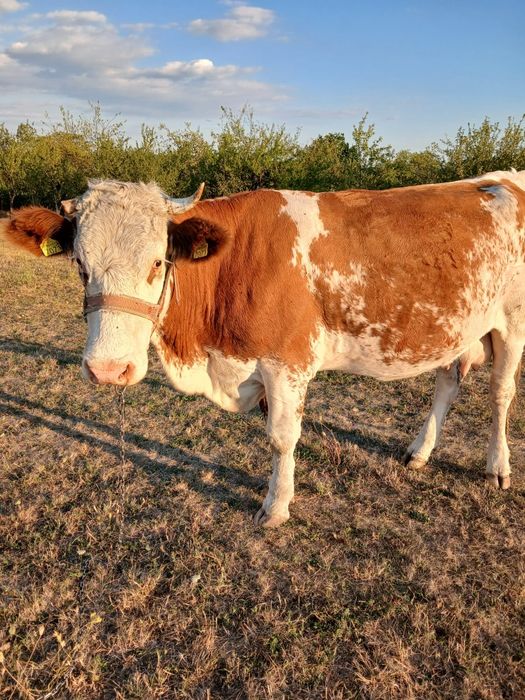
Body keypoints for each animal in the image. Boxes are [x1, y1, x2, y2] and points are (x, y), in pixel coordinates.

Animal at [3, 172, 525, 526]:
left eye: (157, 262)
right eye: (80, 264)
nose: (109, 369)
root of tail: (501, 177)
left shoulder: (286, 363)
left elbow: (281, 437)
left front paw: (275, 507)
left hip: (511, 324)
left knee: (500, 393)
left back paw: (498, 467)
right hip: (459, 327)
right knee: (447, 384)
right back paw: (419, 451)